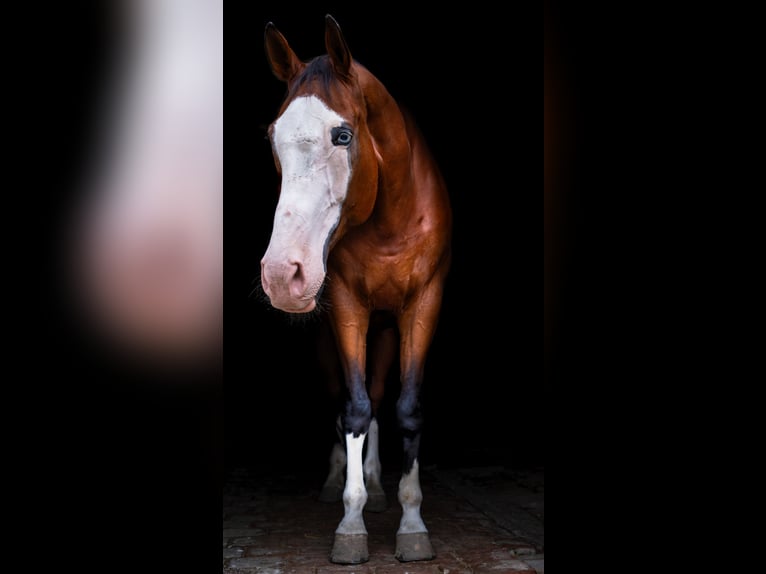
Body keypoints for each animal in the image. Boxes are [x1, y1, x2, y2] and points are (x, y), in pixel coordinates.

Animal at [260, 14, 452, 568]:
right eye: (272, 136)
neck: (390, 220)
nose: (281, 274)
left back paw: (379, 486)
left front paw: (411, 522)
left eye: (342, 134)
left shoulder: (424, 304)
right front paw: (350, 522)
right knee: (345, 395)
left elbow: (406, 408)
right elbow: (355, 408)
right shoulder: (347, 306)